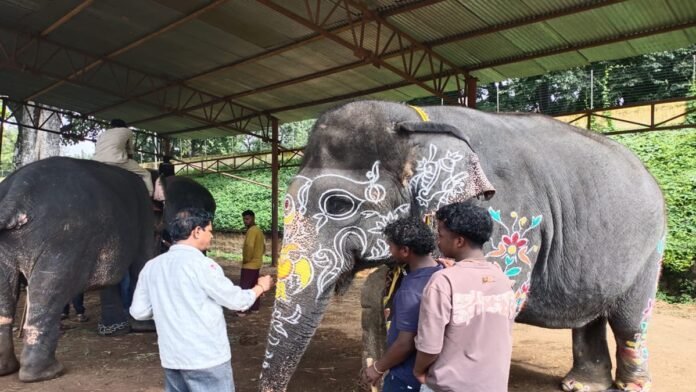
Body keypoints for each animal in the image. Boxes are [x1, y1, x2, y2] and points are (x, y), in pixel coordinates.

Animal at [258, 102, 668, 392]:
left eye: (340, 205)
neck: (417, 122)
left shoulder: (506, 216)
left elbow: (494, 297)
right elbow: (388, 289)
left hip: (652, 248)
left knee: (630, 321)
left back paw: (631, 386)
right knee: (591, 318)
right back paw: (581, 385)